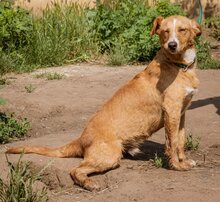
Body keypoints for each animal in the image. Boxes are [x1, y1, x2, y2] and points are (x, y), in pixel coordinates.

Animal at [6, 15, 201, 191]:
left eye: (182, 30)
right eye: (165, 32)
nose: (172, 45)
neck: (180, 66)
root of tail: (81, 139)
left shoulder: (181, 112)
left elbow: (180, 140)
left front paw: (184, 161)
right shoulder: (171, 111)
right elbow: (172, 143)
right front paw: (176, 166)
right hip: (110, 156)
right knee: (75, 170)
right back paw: (88, 184)